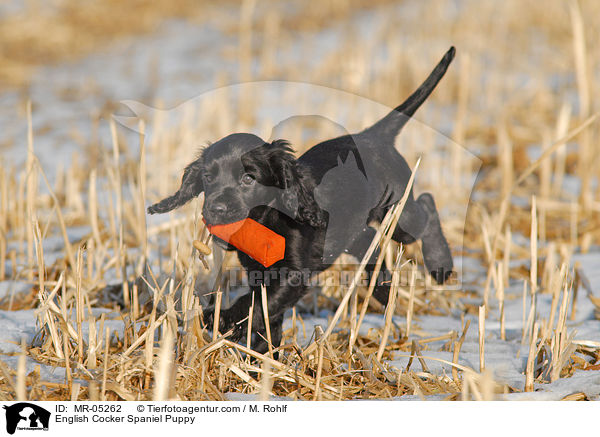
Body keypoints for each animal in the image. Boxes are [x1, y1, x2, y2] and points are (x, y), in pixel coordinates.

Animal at [149, 46, 454, 352]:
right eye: (208, 178)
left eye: (248, 178)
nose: (216, 209)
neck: (266, 219)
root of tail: (373, 136)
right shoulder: (258, 269)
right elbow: (268, 314)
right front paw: (262, 353)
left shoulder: (293, 273)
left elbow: (257, 303)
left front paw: (224, 318)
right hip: (353, 232)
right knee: (371, 243)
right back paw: (382, 289)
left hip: (398, 213)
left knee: (426, 204)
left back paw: (441, 264)